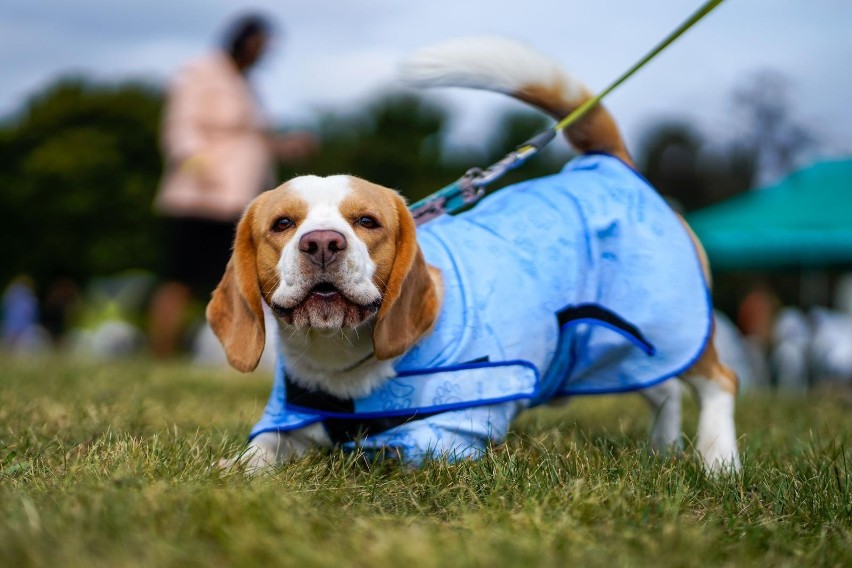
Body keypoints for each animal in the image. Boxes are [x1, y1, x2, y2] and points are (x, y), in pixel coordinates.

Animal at [211, 36, 740, 474]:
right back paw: (664, 450)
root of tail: (606, 163)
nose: (322, 242)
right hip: (619, 345)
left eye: (367, 222)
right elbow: (261, 451)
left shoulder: (448, 437)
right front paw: (235, 470)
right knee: (665, 387)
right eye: (283, 224)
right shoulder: (292, 423)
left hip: (670, 323)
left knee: (720, 380)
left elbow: (386, 450)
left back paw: (719, 461)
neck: (340, 364)